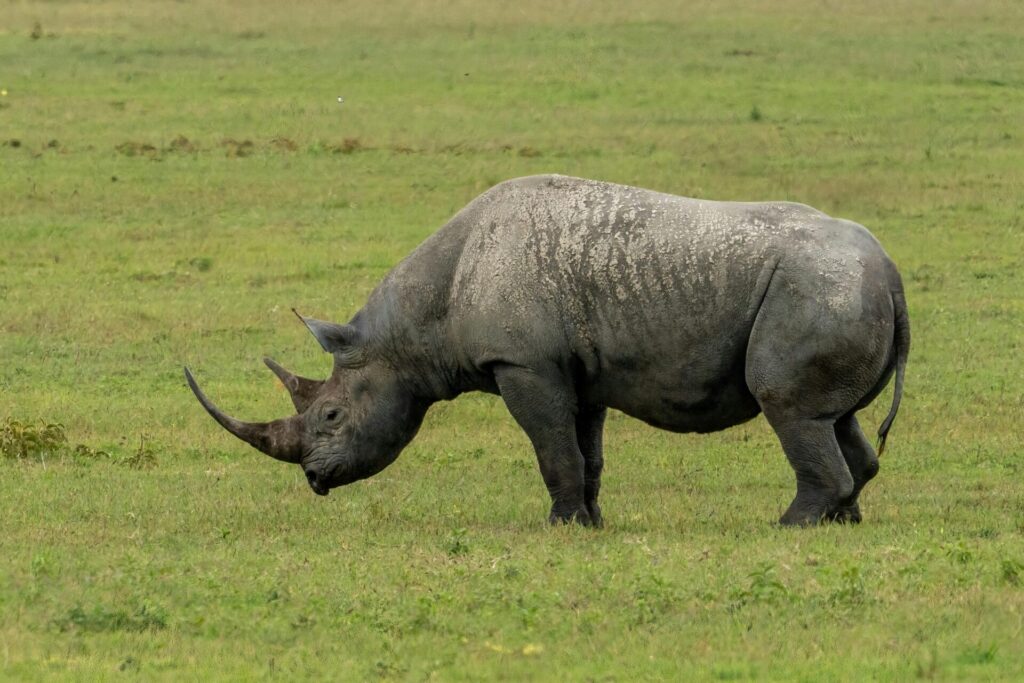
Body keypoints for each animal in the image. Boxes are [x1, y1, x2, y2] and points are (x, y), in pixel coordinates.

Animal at [185, 174, 909, 527]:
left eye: (332, 416)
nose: (314, 477)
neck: (416, 325)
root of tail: (889, 267)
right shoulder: (577, 370)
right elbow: (586, 453)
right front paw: (590, 521)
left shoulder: (523, 363)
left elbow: (552, 449)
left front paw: (560, 526)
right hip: (833, 285)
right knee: (834, 417)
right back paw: (844, 520)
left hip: (816, 286)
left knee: (788, 407)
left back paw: (791, 524)